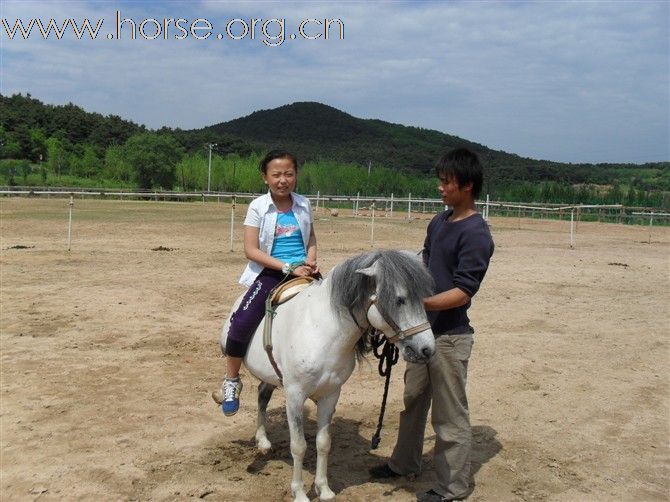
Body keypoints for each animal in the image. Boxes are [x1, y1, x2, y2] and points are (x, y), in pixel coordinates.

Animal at [215, 249, 436, 500]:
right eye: (400, 299)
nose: (427, 349)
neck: (321, 331)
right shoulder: (294, 396)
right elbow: (299, 445)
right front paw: (300, 493)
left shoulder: (331, 394)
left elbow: (323, 443)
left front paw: (324, 489)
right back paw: (229, 399)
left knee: (262, 395)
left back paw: (262, 442)